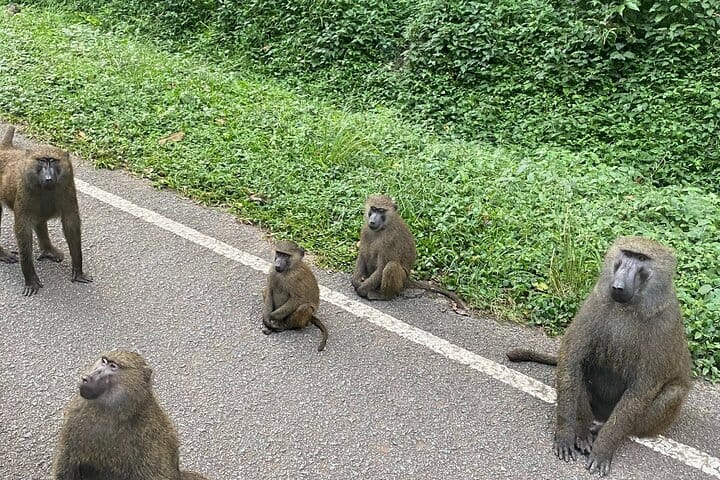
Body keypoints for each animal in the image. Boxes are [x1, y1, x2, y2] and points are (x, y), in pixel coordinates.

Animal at [0, 125, 91, 295]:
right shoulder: (24, 190)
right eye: (42, 160)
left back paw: (48, 250)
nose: (48, 177)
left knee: (40, 219)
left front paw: (78, 271)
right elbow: (23, 231)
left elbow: (71, 224)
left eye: (53, 161)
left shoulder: (68, 186)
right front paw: (30, 279)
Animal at [52, 349, 209, 480]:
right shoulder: (75, 416)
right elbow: (66, 464)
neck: (110, 412)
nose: (86, 378)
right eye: (104, 361)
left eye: (113, 366)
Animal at [506, 236, 692, 476]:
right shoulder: (596, 302)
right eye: (627, 254)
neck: (628, 307)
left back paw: (600, 428)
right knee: (581, 367)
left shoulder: (664, 324)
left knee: (672, 393)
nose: (618, 285)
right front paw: (566, 434)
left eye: (641, 259)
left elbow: (642, 389)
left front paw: (603, 449)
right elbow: (571, 359)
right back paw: (583, 431)